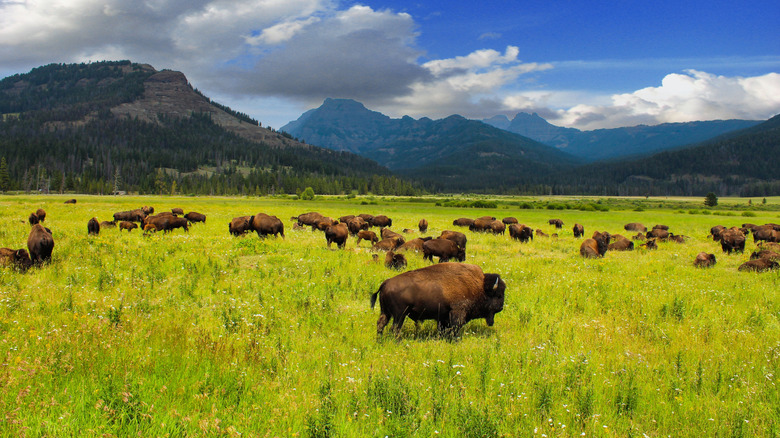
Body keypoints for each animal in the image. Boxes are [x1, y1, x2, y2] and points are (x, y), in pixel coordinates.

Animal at [370, 263, 506, 337]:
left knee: (381, 324)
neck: (480, 286)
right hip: (400, 315)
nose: (501, 308)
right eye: (498, 295)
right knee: (394, 328)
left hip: (386, 312)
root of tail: (385, 283)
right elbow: (454, 328)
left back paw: (380, 339)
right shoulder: (457, 312)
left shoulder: (443, 317)